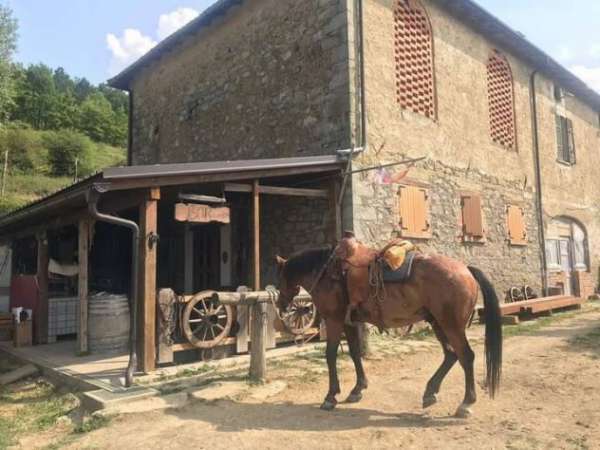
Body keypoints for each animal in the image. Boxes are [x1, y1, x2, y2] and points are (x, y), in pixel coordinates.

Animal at [276, 246, 502, 418]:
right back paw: (430, 392)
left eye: (280, 279)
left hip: (451, 326)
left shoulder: (334, 321)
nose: (281, 305)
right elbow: (355, 353)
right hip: (438, 323)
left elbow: (330, 355)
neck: (326, 273)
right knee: (451, 355)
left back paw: (466, 403)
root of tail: (466, 269)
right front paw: (357, 389)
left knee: (466, 356)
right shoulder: (349, 323)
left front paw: (330, 397)